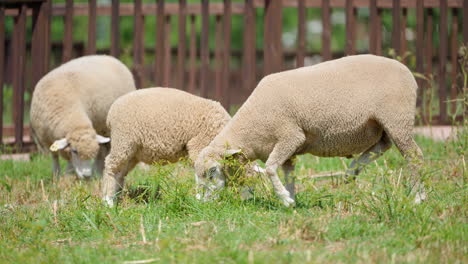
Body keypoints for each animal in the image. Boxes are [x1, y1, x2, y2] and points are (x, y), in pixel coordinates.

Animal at [100, 87, 230, 206]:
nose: (217, 200)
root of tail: (111, 112)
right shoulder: (199, 145)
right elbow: (201, 175)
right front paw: (201, 199)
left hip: (133, 152)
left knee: (120, 172)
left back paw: (116, 198)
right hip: (123, 139)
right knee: (111, 166)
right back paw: (108, 201)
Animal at [194, 54, 428, 206]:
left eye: (212, 172)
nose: (201, 202)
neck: (250, 130)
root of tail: (408, 72)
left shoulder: (291, 136)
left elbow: (270, 168)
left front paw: (284, 198)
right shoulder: (288, 149)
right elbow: (288, 173)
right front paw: (291, 199)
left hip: (397, 118)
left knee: (414, 156)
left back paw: (418, 197)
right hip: (381, 124)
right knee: (383, 145)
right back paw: (353, 170)